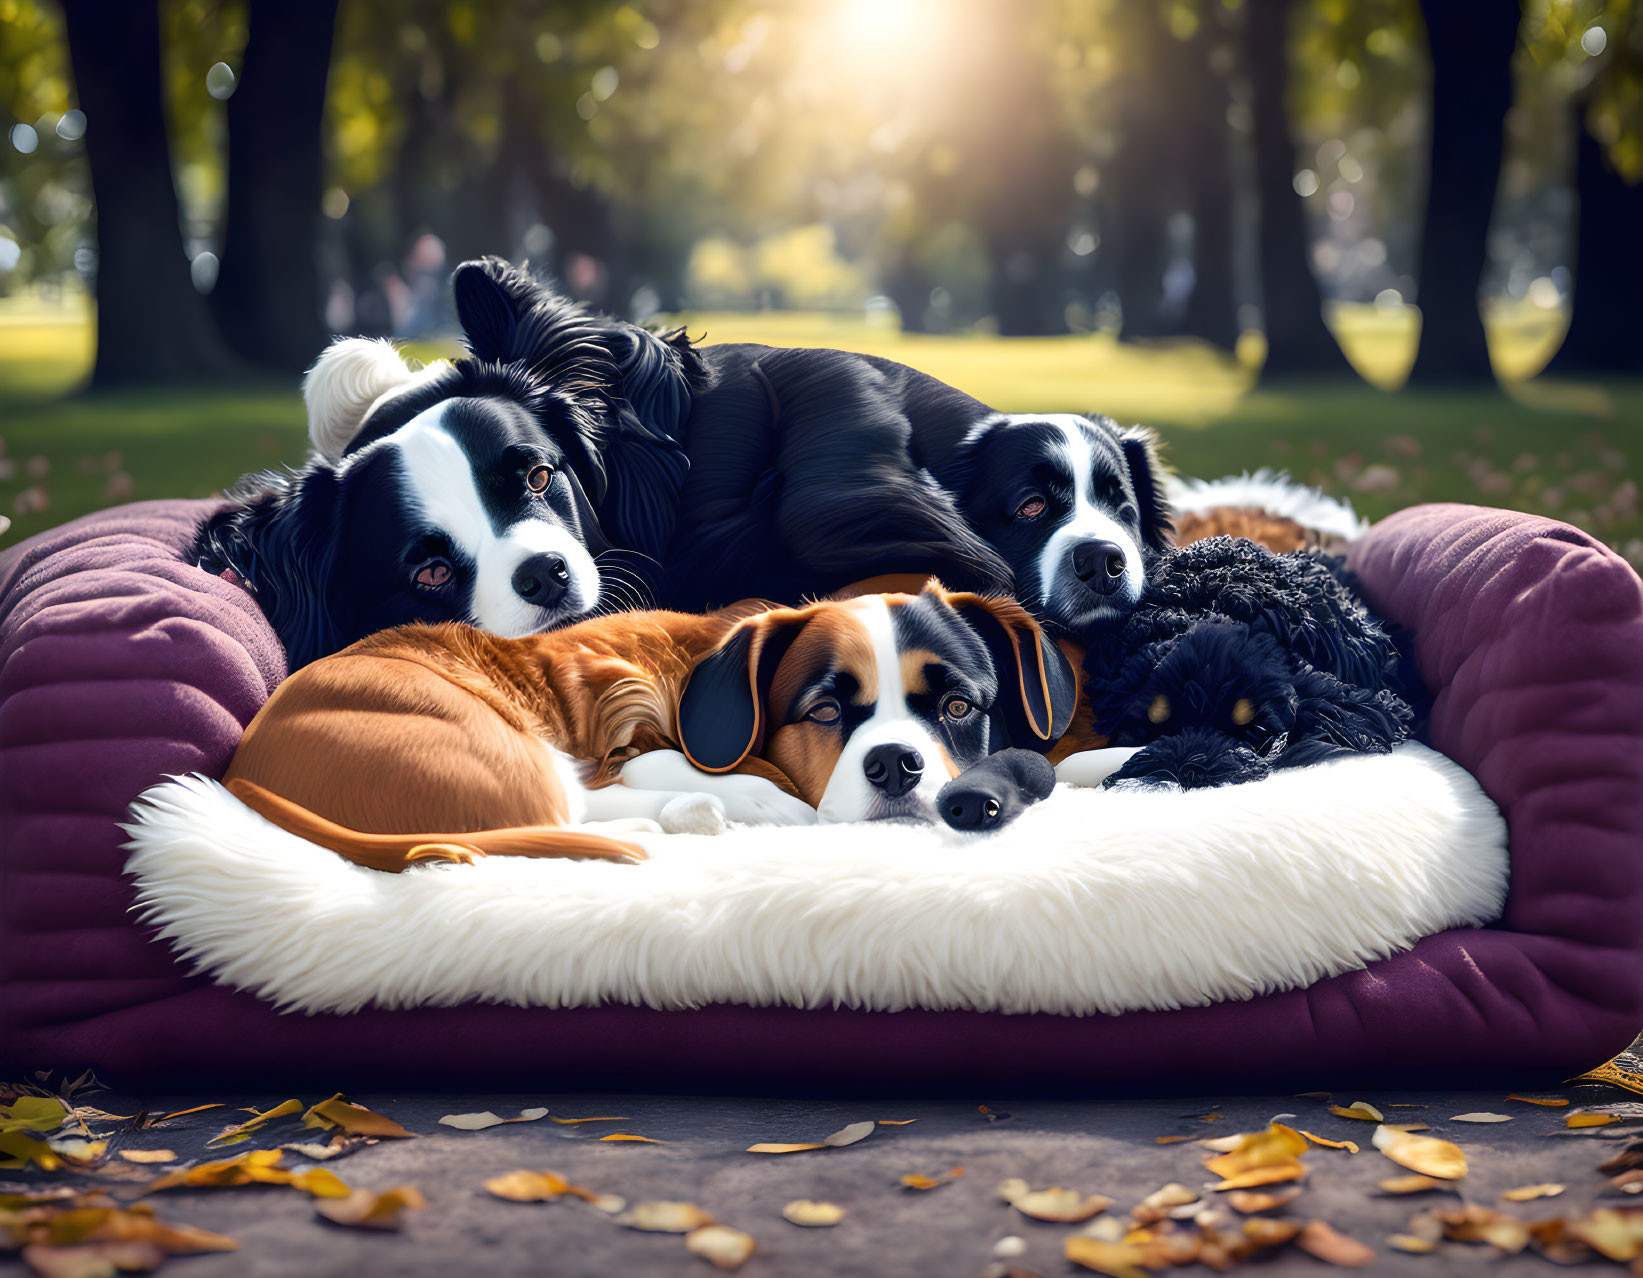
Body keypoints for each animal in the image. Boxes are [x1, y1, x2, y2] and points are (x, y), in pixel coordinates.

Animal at [225, 578, 1071, 867]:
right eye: (825, 712)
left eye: (958, 708)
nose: (896, 765)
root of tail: (243, 769)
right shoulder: (618, 716)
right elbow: (680, 764)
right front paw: (758, 798)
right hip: (498, 739)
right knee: (553, 812)